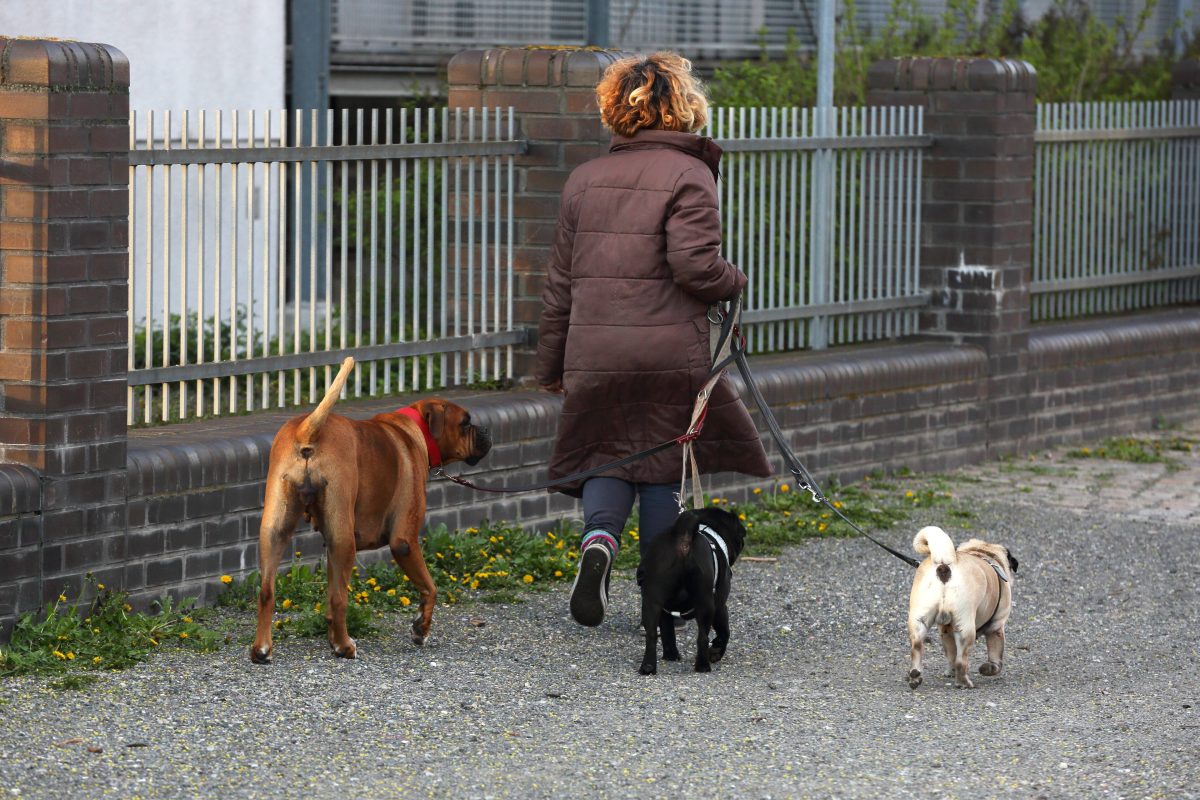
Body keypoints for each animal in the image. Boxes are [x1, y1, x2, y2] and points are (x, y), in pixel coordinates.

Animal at [248, 359, 492, 666]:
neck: (411, 431)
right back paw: (344, 647)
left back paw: (262, 649)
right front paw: (420, 629)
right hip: (343, 540)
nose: (486, 431)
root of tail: (308, 428)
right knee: (340, 599)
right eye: (465, 423)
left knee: (268, 591)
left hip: (276, 531)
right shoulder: (404, 541)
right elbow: (430, 588)